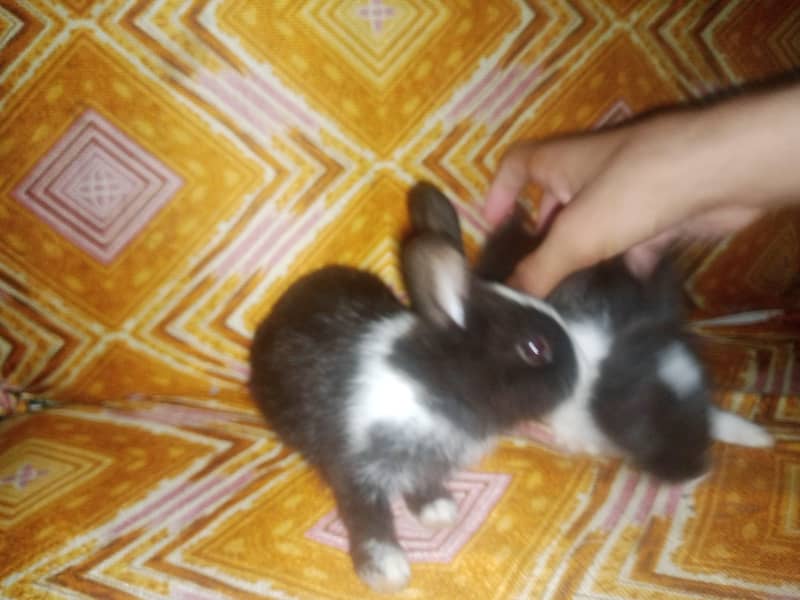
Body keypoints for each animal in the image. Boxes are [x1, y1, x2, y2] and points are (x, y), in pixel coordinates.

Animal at [248, 182, 582, 592]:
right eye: (535, 348)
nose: (579, 370)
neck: (432, 388)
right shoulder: (355, 470)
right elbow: (368, 517)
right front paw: (385, 569)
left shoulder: (423, 462)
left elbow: (421, 484)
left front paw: (438, 510)